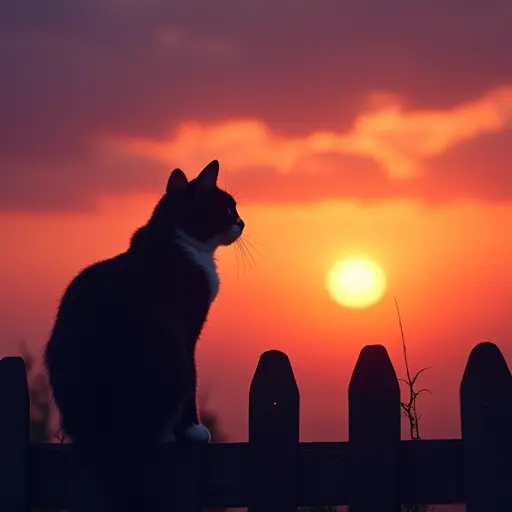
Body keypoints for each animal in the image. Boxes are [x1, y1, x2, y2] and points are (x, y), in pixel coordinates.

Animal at [44, 158, 244, 510]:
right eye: (228, 208)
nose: (243, 222)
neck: (173, 237)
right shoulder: (187, 332)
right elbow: (193, 382)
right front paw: (194, 429)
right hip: (169, 350)